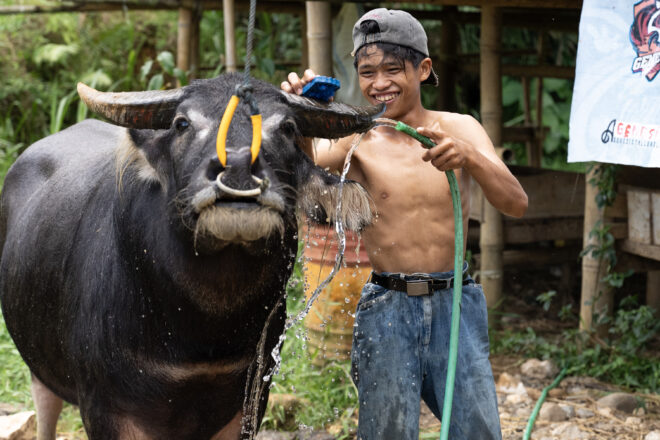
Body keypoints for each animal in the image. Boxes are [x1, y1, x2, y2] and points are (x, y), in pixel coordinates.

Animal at [0, 74, 378, 438]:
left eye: (287, 127)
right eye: (182, 123)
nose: (238, 167)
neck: (200, 337)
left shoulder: (250, 402)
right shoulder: (102, 407)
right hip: (40, 372)